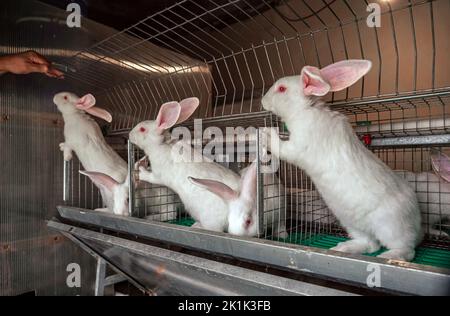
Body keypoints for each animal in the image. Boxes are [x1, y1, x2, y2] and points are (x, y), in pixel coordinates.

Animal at [130, 97, 243, 233]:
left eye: (142, 129)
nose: (129, 135)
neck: (161, 145)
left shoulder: (159, 175)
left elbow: (150, 177)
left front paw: (140, 171)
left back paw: (195, 226)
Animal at [262, 59, 424, 262]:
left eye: (282, 89)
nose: (262, 100)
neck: (305, 110)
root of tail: (418, 225)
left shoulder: (297, 146)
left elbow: (281, 147)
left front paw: (267, 133)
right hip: (351, 224)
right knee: (370, 244)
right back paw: (343, 248)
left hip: (392, 227)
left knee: (405, 249)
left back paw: (389, 256)